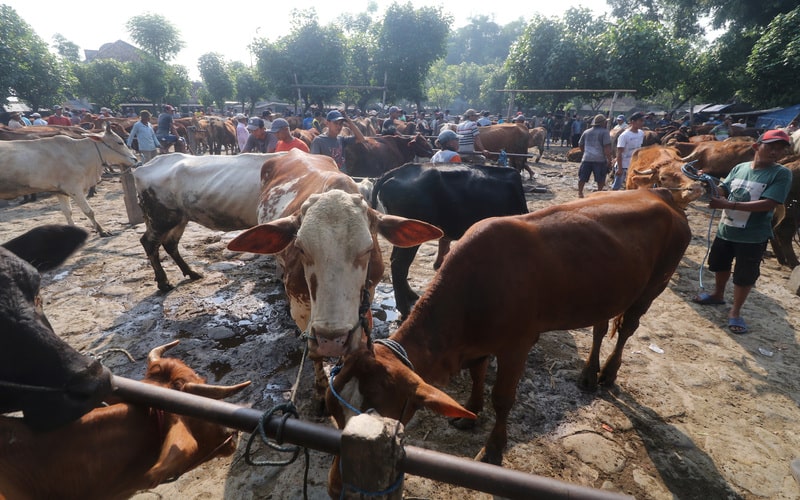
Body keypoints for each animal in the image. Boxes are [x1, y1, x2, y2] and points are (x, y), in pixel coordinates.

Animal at [227, 149, 444, 406]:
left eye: (368, 248)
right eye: (300, 248)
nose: (332, 339)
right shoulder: (302, 309)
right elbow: (314, 353)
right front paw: (321, 388)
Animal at [328, 187, 692, 492]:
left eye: (383, 415)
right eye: (333, 411)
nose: (336, 486)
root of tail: (660, 194)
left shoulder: (517, 345)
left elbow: (503, 398)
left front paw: (492, 448)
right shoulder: (476, 343)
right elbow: (477, 375)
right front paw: (470, 411)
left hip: (655, 284)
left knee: (627, 328)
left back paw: (609, 372)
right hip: (608, 290)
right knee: (601, 327)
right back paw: (589, 373)